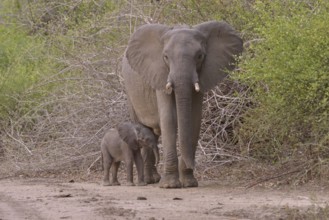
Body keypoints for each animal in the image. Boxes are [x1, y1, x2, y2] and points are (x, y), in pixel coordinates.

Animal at [120, 20, 241, 188]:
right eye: (165, 57)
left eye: (199, 56)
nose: (193, 165)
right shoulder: (161, 75)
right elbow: (169, 119)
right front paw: (170, 185)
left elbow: (194, 119)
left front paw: (189, 183)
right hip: (130, 91)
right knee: (143, 128)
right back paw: (148, 181)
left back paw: (154, 179)